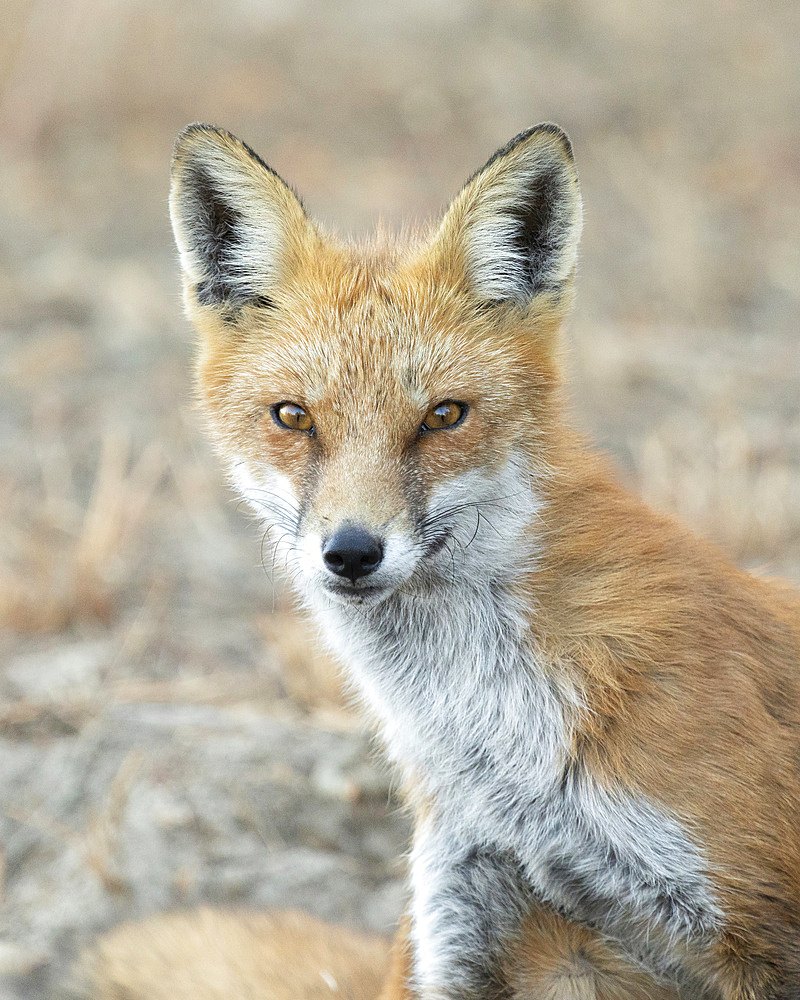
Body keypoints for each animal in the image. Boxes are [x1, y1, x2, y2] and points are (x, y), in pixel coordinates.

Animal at [123, 127, 800, 1000]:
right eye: (293, 417)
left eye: (444, 416)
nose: (351, 552)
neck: (501, 761)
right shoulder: (463, 921)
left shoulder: (754, 920)